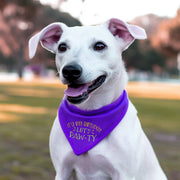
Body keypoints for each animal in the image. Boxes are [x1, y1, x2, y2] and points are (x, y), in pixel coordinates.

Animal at [28, 18, 167, 180]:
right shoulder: (63, 170)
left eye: (99, 46)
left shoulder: (123, 174)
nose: (70, 70)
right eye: (62, 47)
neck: (91, 113)